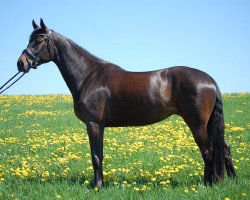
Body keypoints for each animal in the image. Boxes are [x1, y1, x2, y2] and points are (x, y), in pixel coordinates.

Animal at [16, 18, 235, 188]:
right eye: (30, 39)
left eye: (39, 39)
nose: (21, 63)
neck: (88, 75)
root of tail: (209, 79)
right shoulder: (99, 126)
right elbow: (99, 154)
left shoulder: (93, 124)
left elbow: (96, 156)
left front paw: (97, 186)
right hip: (208, 124)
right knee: (223, 148)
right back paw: (229, 179)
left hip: (197, 123)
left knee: (208, 151)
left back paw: (206, 184)